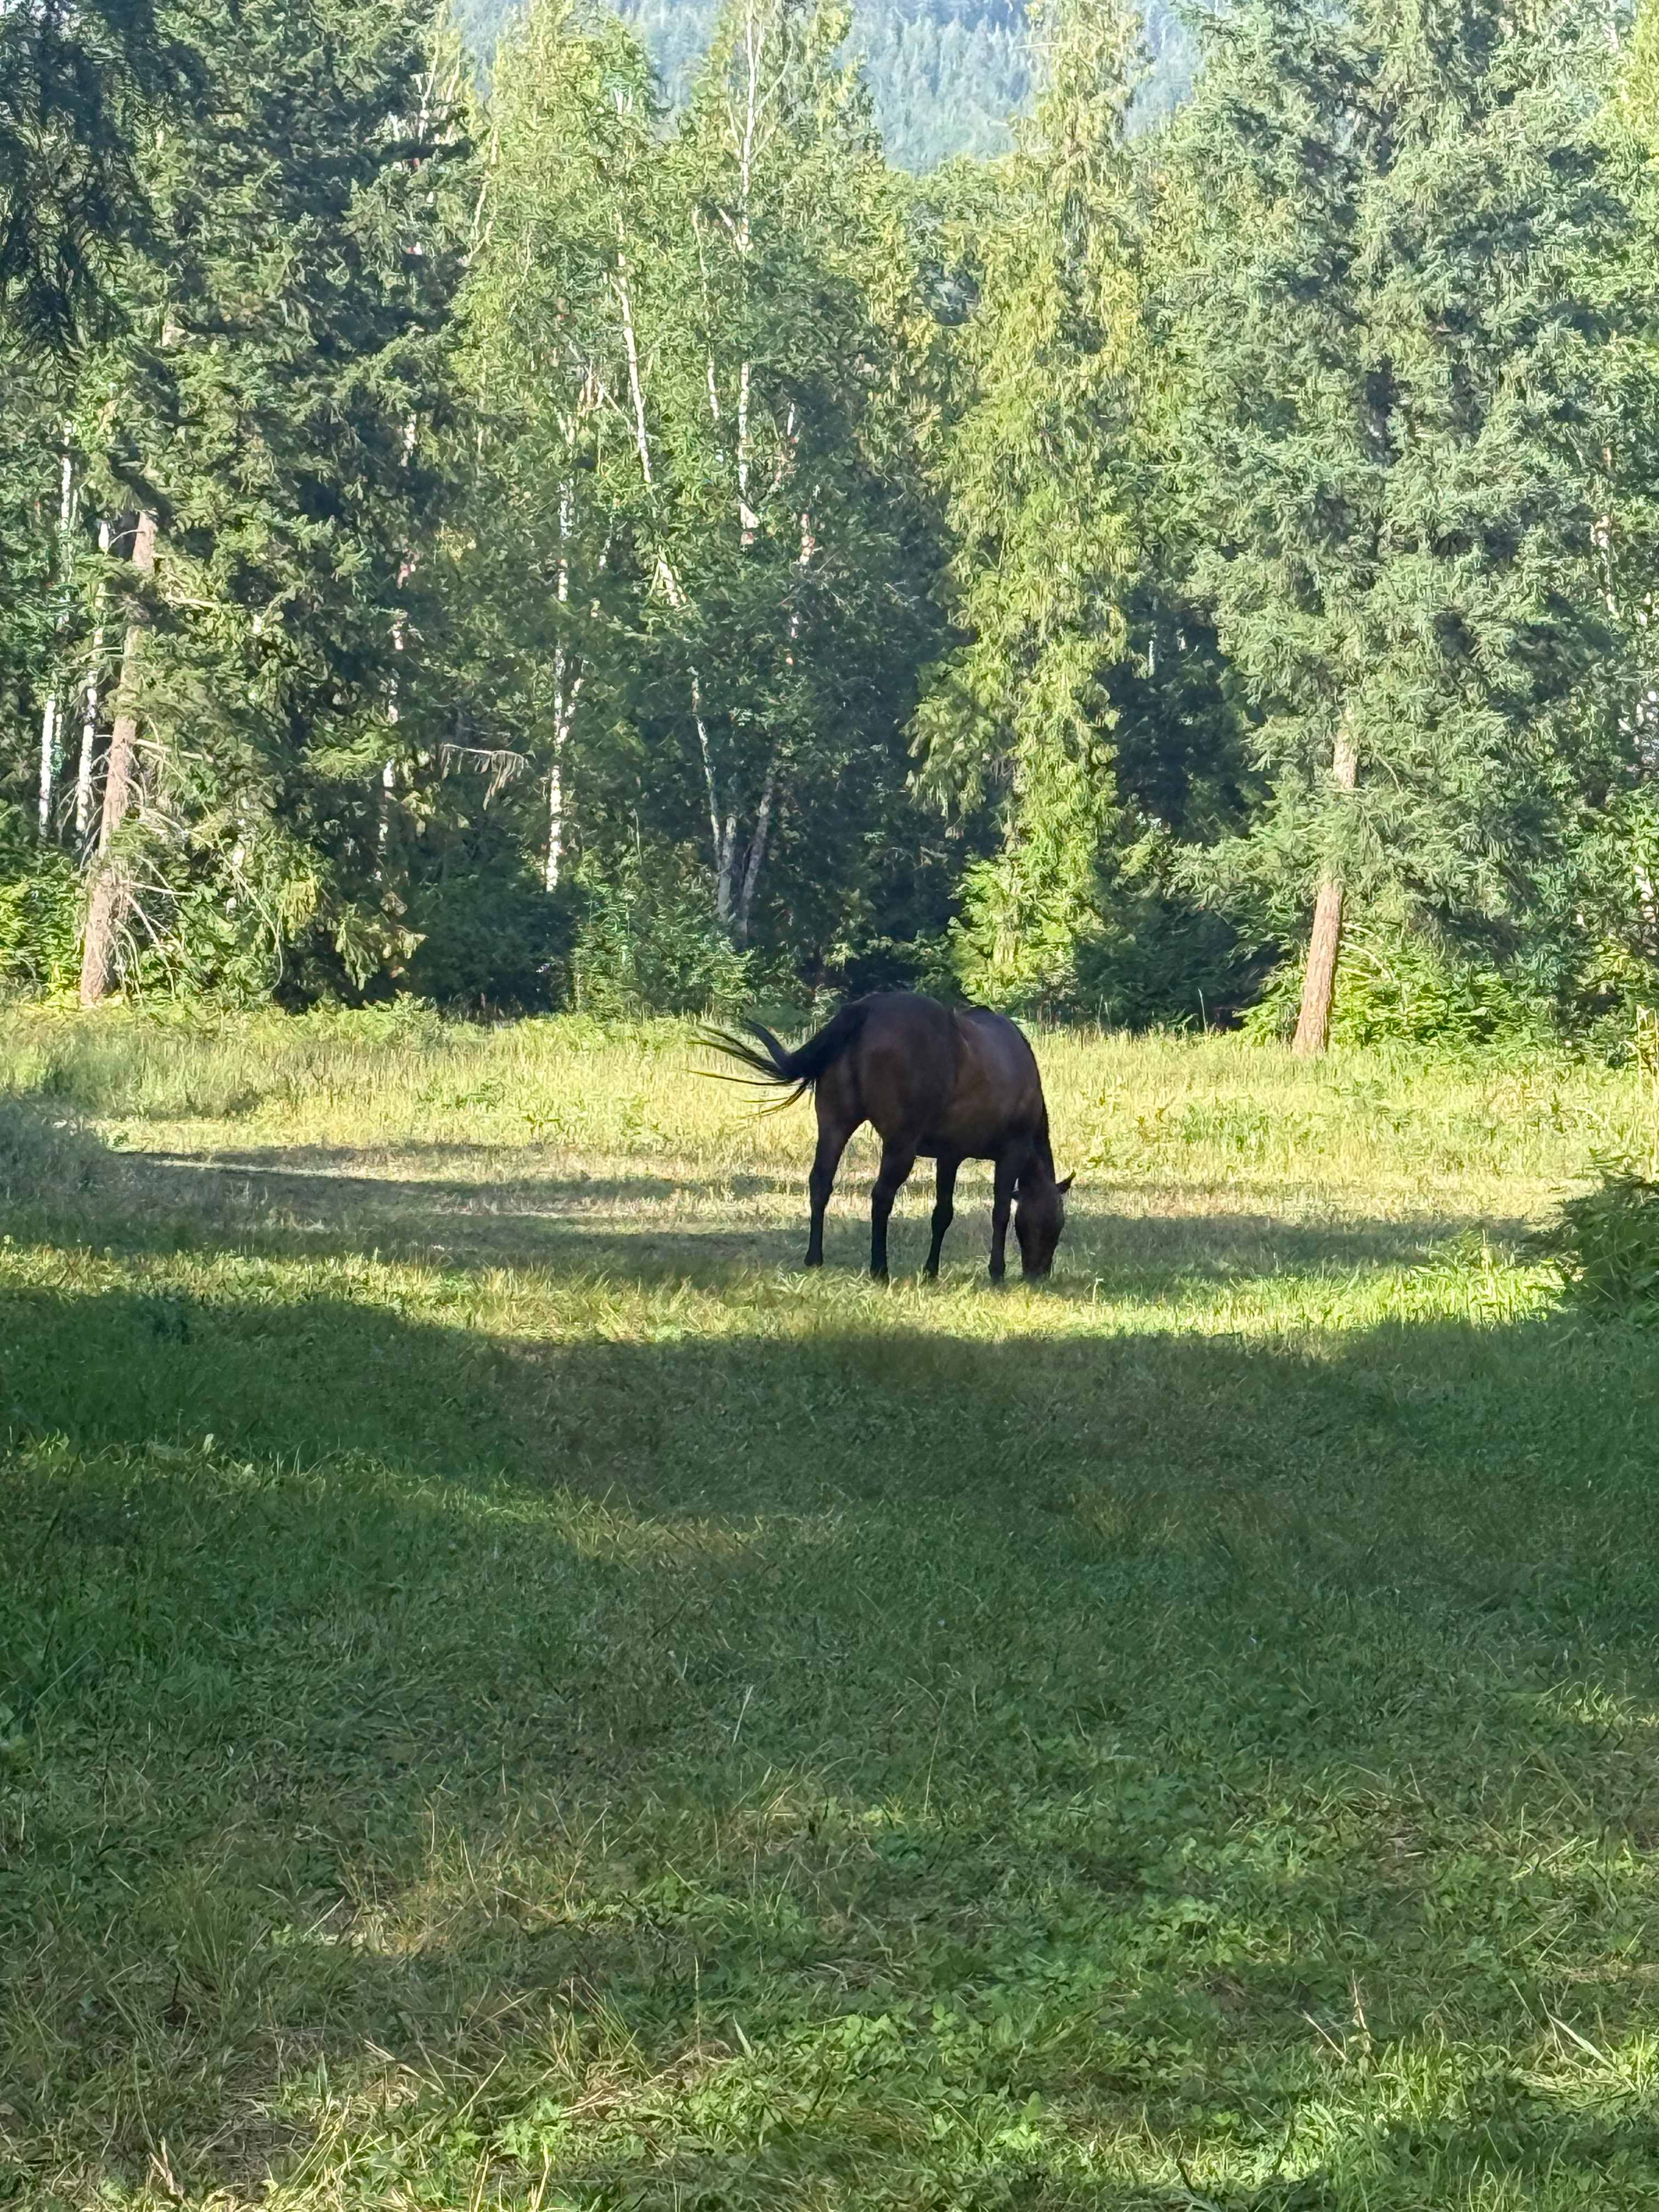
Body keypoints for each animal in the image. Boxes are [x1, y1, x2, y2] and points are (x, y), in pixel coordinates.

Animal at [705, 991, 1073, 1282]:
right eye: (1057, 1223)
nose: (1038, 1274)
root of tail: (869, 1008)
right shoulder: (1011, 1154)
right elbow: (999, 1213)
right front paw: (996, 1272)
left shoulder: (950, 1156)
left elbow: (943, 1214)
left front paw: (931, 1271)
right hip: (900, 1145)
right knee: (881, 1197)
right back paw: (879, 1268)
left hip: (835, 1125)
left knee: (820, 1183)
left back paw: (815, 1258)